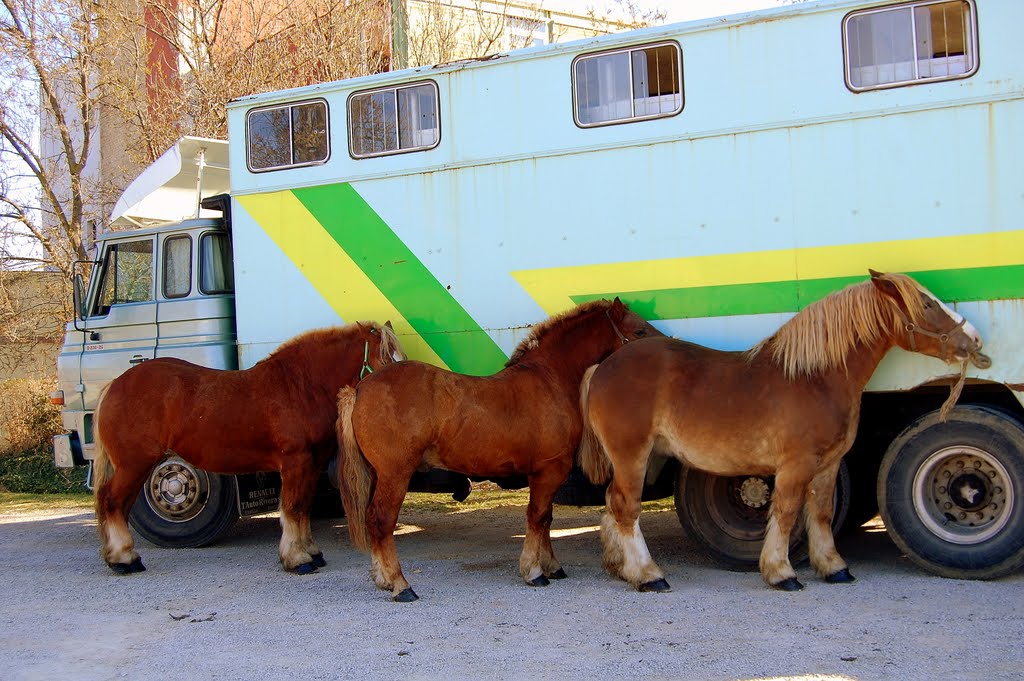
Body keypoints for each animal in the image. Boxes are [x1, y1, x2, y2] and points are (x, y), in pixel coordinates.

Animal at [93, 323, 403, 573]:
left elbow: (303, 508)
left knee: (119, 505)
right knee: (111, 501)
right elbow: (292, 508)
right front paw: (298, 560)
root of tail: (114, 385)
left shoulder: (312, 466)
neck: (300, 388)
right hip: (135, 465)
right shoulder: (295, 463)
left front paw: (311, 553)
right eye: (386, 357)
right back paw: (124, 560)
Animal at [335, 296, 655, 602]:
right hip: (395, 474)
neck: (550, 379)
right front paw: (534, 571)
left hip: (377, 474)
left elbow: (546, 518)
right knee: (382, 520)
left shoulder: (545, 474)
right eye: (639, 330)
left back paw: (383, 579)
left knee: (372, 520)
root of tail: (359, 389)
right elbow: (537, 516)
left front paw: (552, 565)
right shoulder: (550, 470)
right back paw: (401, 585)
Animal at [581, 270, 987, 589]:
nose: (975, 341)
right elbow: (787, 512)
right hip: (632, 454)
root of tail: (602, 368)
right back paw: (648, 574)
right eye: (927, 304)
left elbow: (820, 513)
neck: (816, 378)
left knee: (614, 503)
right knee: (626, 506)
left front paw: (833, 567)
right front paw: (781, 573)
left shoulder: (828, 465)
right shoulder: (795, 465)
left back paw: (622, 568)